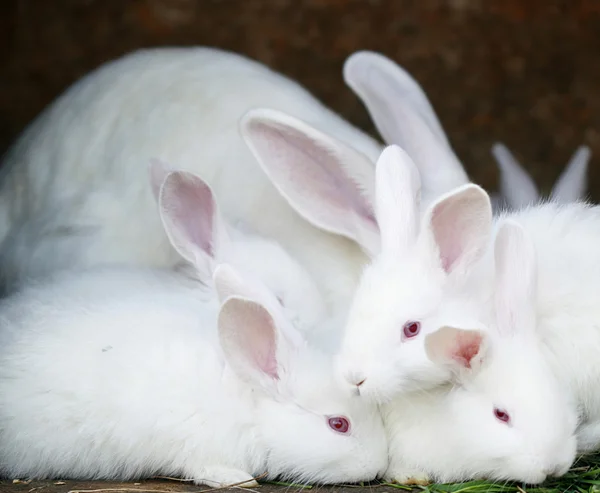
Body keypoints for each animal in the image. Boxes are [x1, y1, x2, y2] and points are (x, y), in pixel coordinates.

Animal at [0, 258, 386, 484]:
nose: (379, 466)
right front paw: (235, 479)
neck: (250, 405)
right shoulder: (191, 441)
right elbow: (200, 466)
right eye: (338, 424)